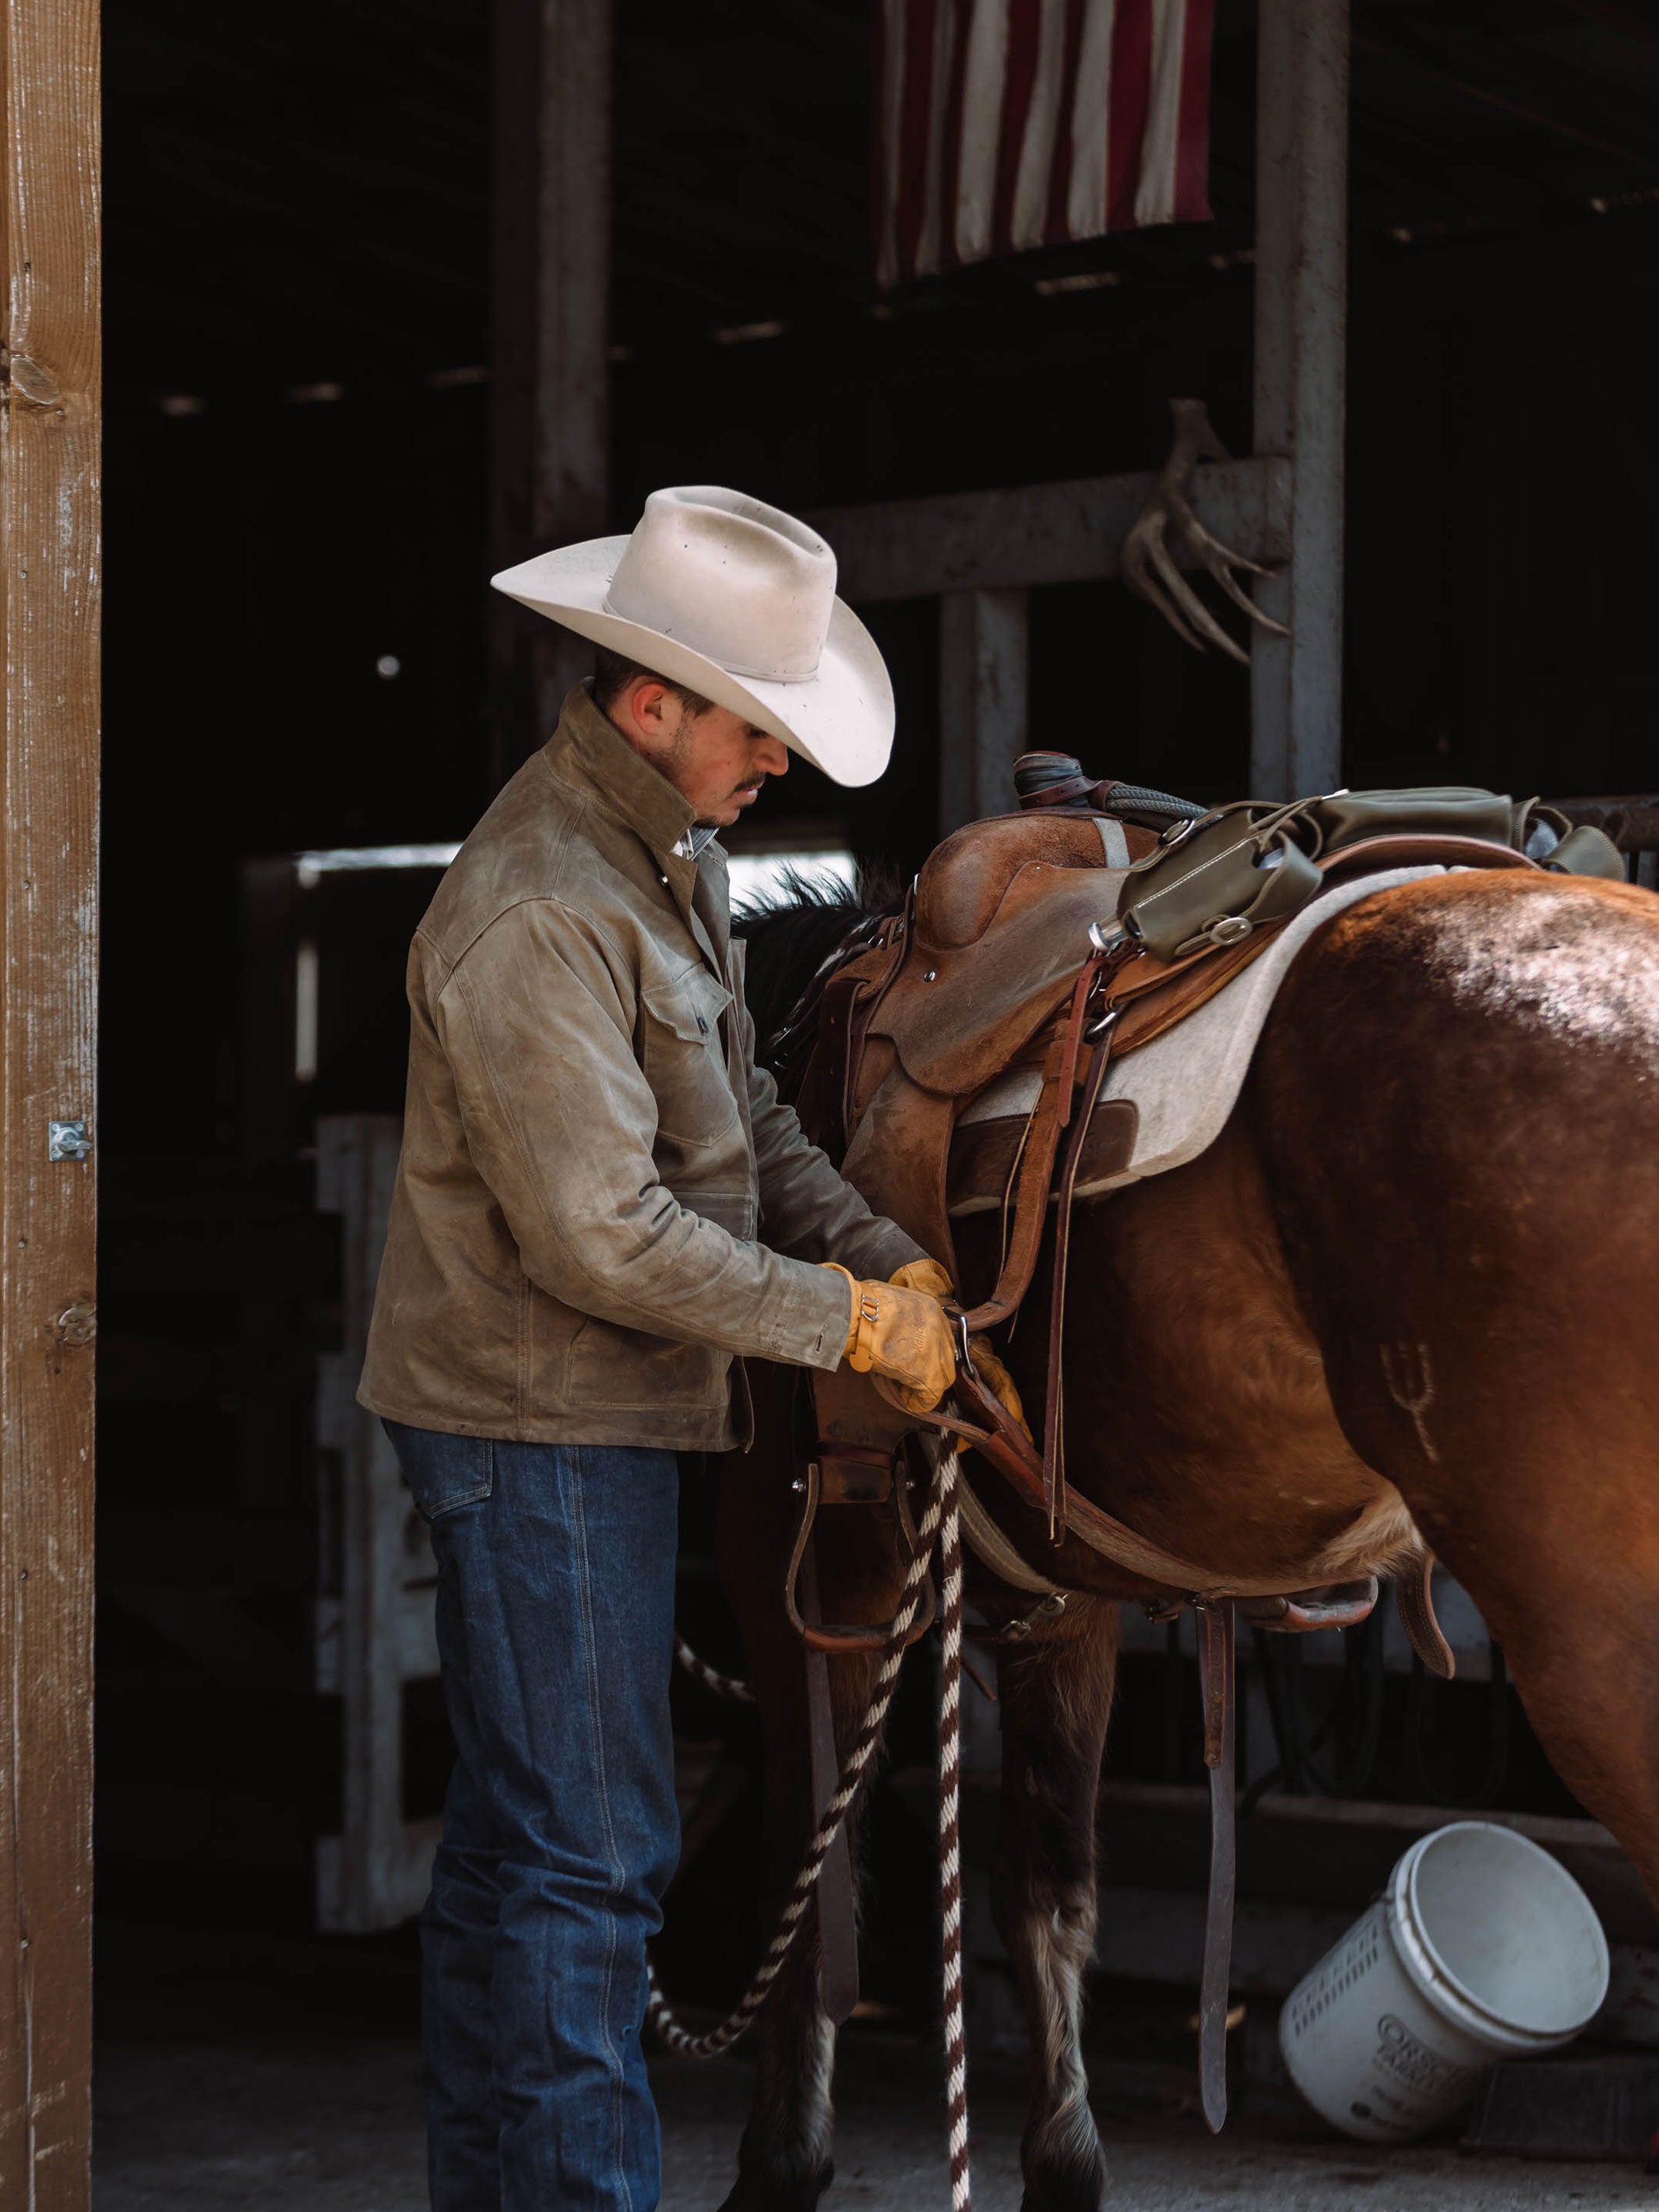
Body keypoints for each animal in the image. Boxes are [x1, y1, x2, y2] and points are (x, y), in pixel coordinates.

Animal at [712, 867, 1659, 2212]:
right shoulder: (1061, 1606)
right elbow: (1046, 1888)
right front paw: (1063, 2164)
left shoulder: (796, 1573)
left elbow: (810, 1888)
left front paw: (782, 2162)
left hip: (1592, 1647)